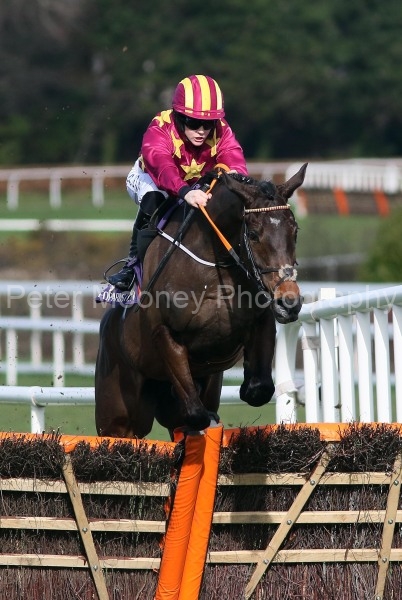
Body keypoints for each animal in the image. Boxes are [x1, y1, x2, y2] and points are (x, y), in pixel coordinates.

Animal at [95, 163, 307, 439]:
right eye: (253, 234)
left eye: (295, 231)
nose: (288, 302)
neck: (214, 265)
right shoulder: (166, 334)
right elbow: (196, 413)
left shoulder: (261, 321)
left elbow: (258, 389)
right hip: (116, 416)